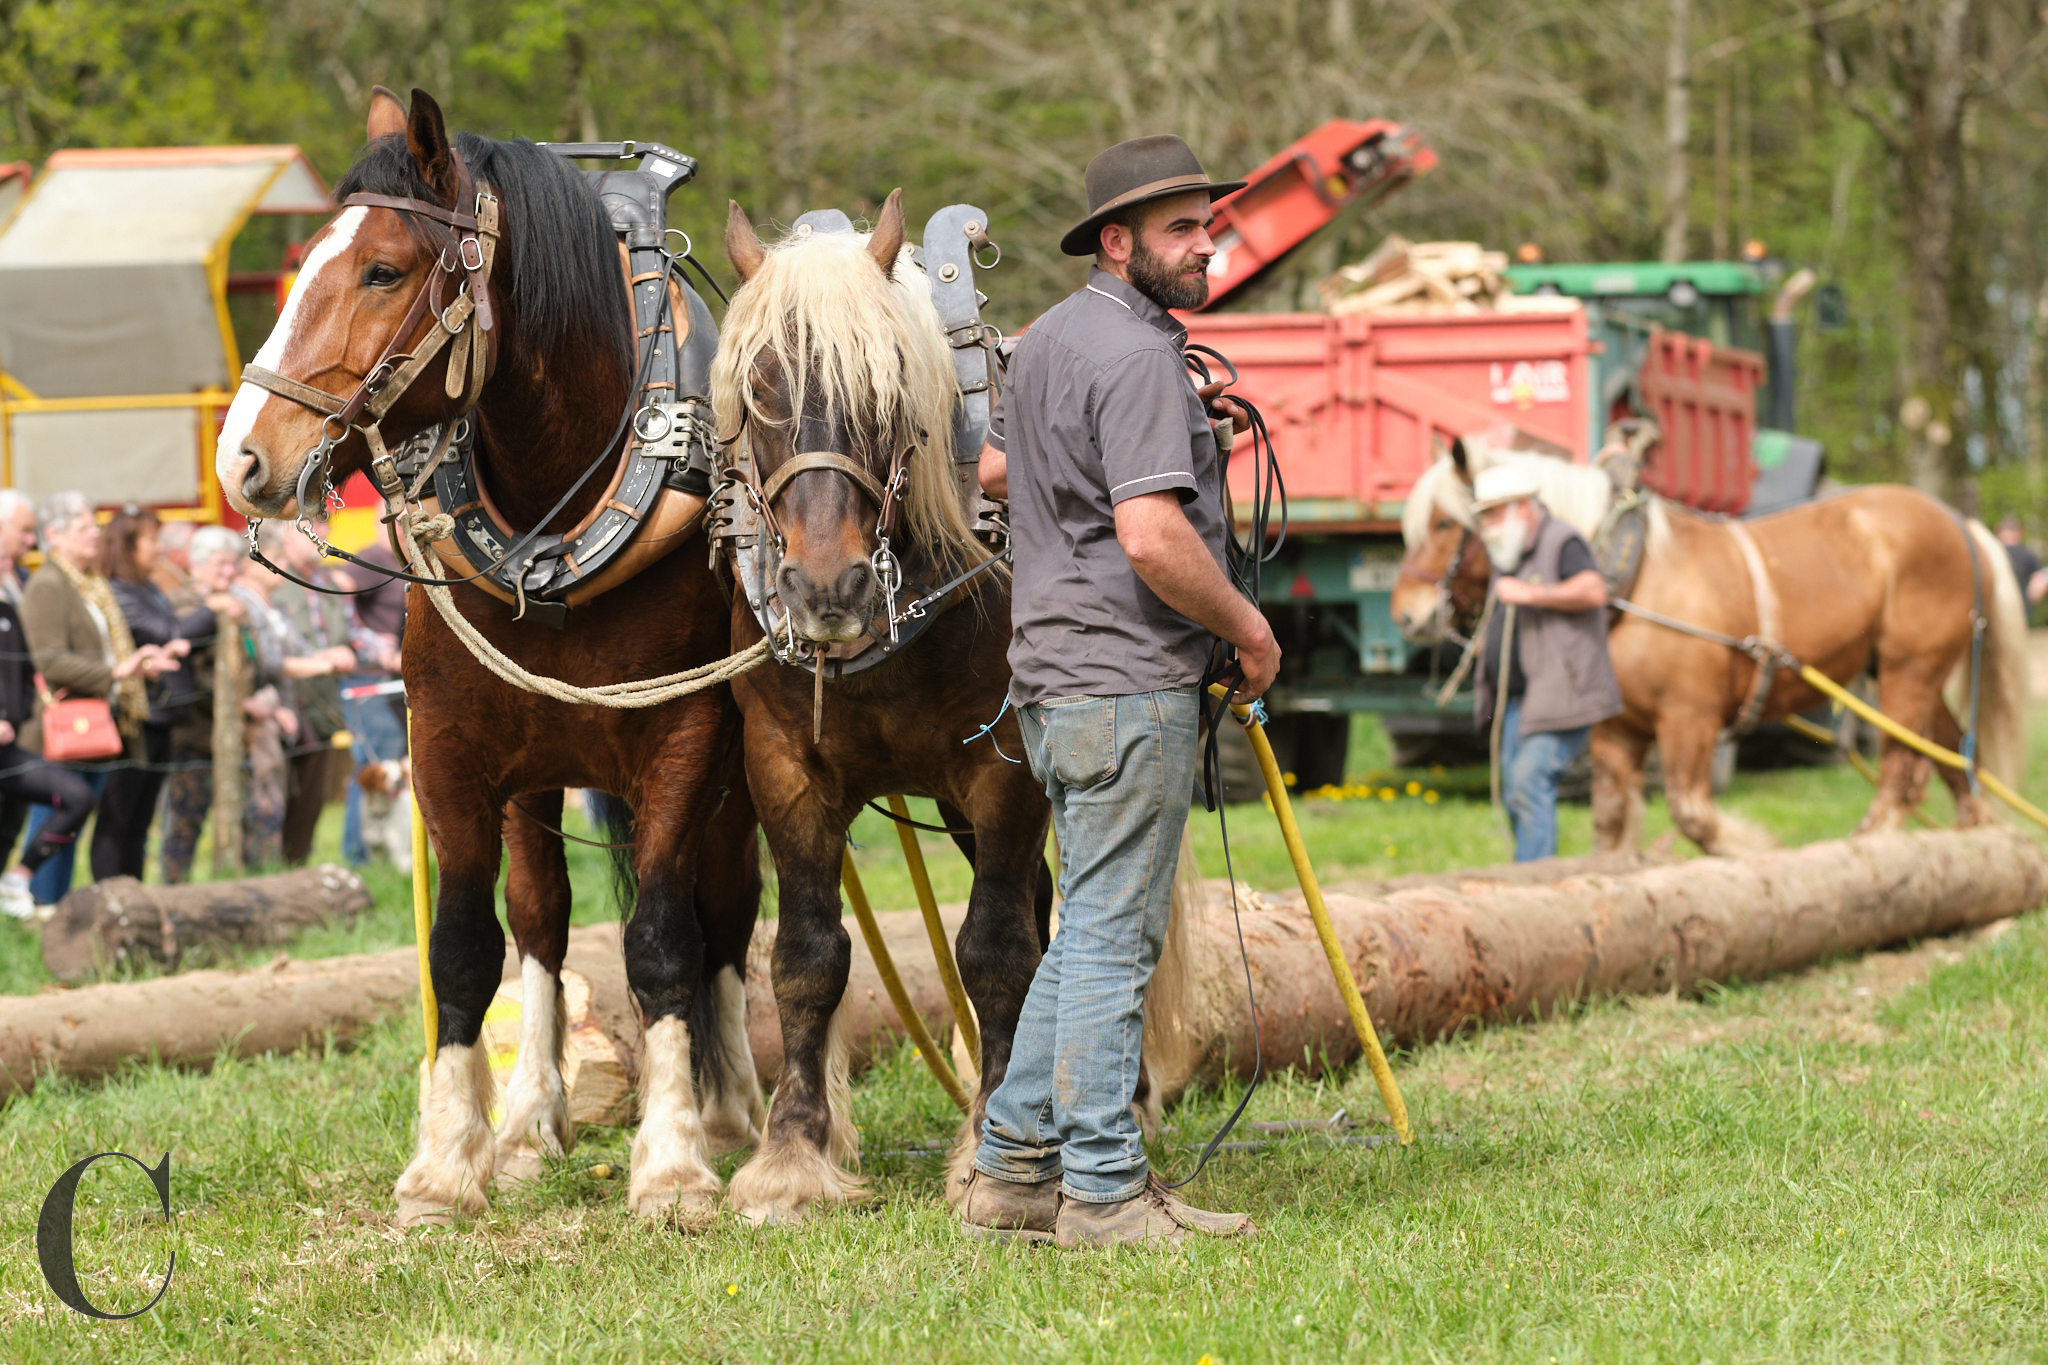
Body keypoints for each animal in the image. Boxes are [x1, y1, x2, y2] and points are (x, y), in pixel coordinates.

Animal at [220, 90, 770, 1236]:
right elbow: (470, 947)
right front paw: (449, 1160)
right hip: (535, 778)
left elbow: (663, 939)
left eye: (383, 271)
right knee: (545, 922)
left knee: (725, 913)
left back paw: (730, 1106)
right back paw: (529, 1123)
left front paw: (673, 1163)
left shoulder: (685, 740)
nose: (242, 459)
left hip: (738, 773)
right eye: (303, 266)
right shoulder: (450, 752)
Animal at [712, 194, 1196, 1227]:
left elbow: (995, 951)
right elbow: (807, 955)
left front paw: (989, 1153)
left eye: (888, 392)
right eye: (761, 390)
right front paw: (792, 1156)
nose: (828, 587)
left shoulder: (1003, 769)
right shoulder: (783, 765)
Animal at [1384, 448, 2023, 855]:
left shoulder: (1688, 719)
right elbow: (1611, 822)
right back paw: (1975, 834)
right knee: (1953, 754)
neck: (1635, 577)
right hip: (1909, 676)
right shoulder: (1616, 729)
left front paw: (1758, 849)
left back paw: (1871, 842)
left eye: (1444, 524)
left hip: (1906, 671)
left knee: (1903, 770)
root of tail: (1961, 523)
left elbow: (1694, 816)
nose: (1406, 613)